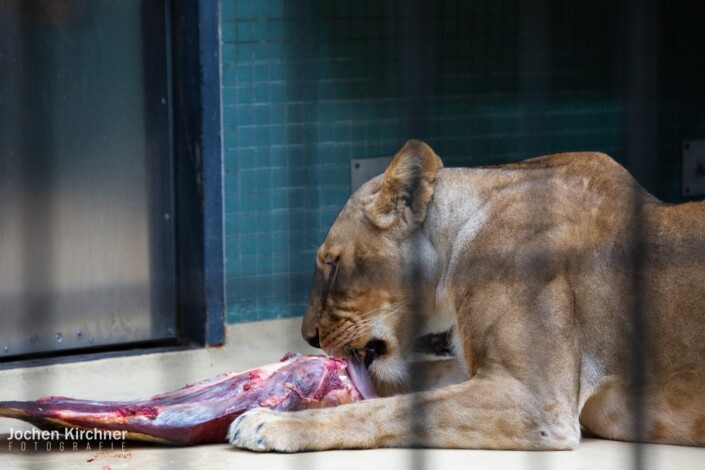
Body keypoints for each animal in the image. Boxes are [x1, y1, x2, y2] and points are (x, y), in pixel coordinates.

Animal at [229, 140, 705, 451]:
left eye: (331, 263)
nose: (308, 337)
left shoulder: (537, 403)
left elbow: (390, 410)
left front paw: (270, 422)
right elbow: (408, 385)